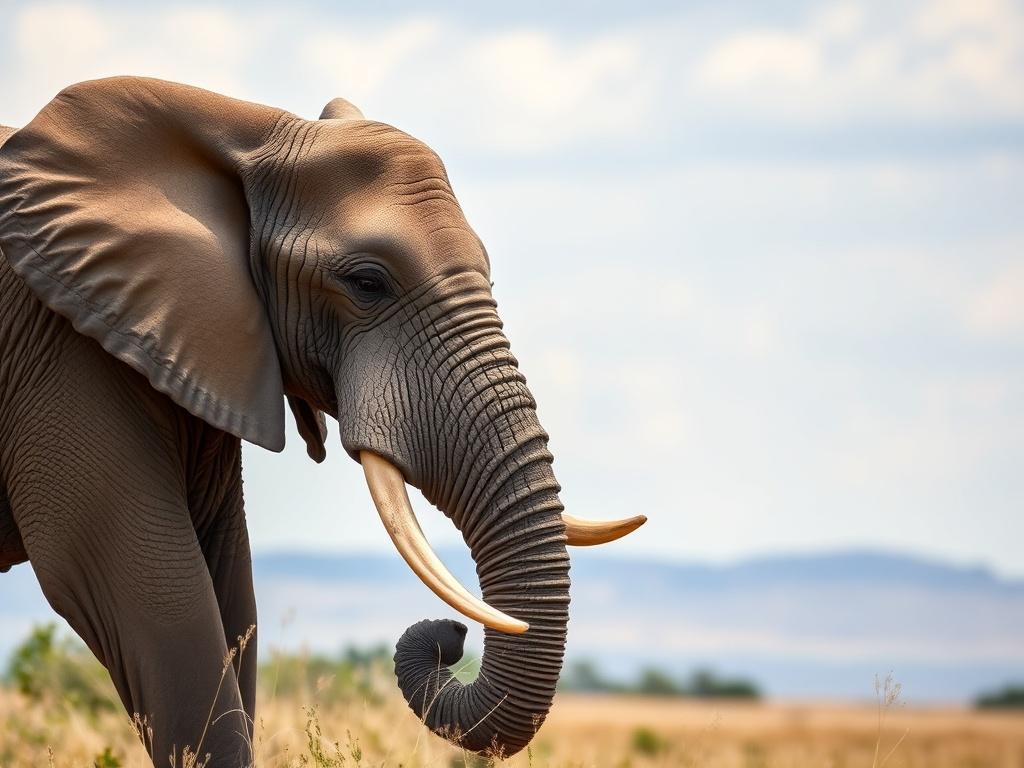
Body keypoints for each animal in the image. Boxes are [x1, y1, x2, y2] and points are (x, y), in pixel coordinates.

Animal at [0, 77, 645, 765]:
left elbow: (231, 589)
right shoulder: (66, 350)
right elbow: (156, 594)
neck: (244, 127)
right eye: (366, 283)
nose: (450, 635)